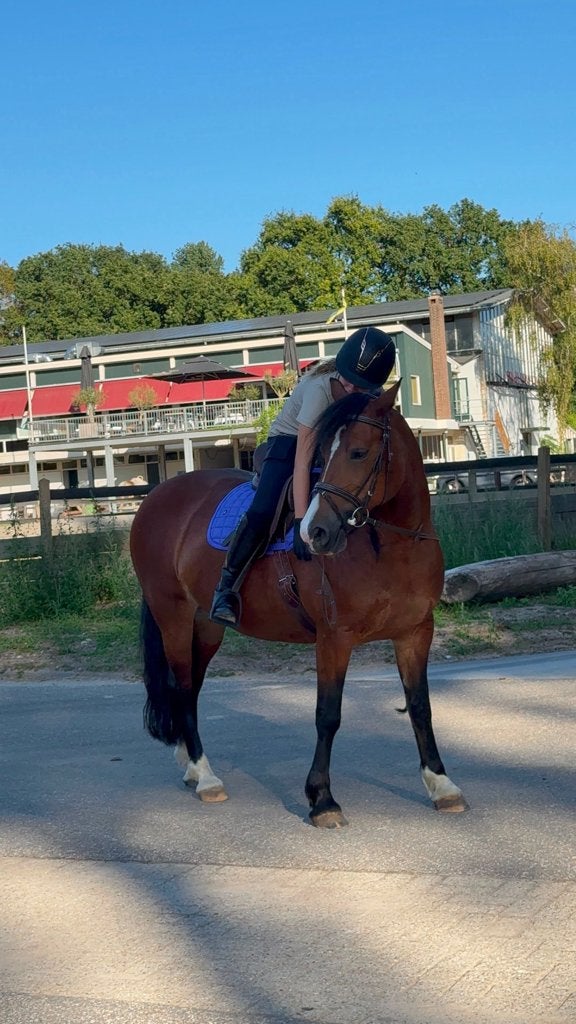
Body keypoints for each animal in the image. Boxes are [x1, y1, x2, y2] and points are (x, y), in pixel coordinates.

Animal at [129, 381, 468, 827]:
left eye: (358, 452)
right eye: (322, 454)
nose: (316, 532)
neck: (393, 545)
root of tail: (156, 496)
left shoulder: (415, 633)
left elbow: (419, 707)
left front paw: (442, 785)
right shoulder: (334, 638)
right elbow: (328, 715)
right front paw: (322, 799)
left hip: (206, 625)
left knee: (191, 688)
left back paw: (191, 765)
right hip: (174, 616)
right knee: (183, 687)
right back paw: (206, 776)